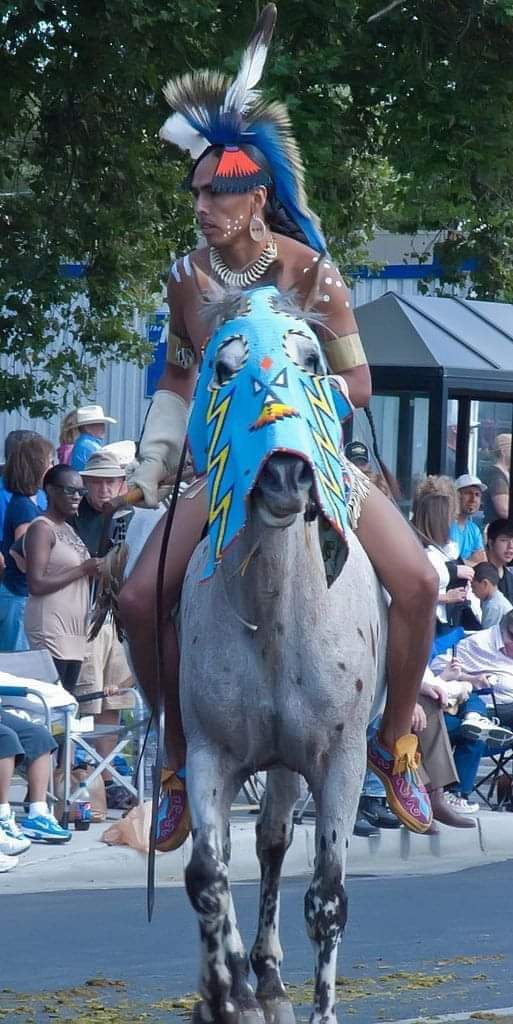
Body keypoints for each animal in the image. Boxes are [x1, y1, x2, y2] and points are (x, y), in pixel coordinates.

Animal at [171, 280, 385, 1024]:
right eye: (223, 369)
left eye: (310, 359)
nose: (286, 476)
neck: (276, 621)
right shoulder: (208, 751)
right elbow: (207, 875)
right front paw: (222, 991)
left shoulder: (340, 761)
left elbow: (327, 898)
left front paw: (314, 1007)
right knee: (252, 846)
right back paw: (250, 978)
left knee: (272, 842)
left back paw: (267, 975)